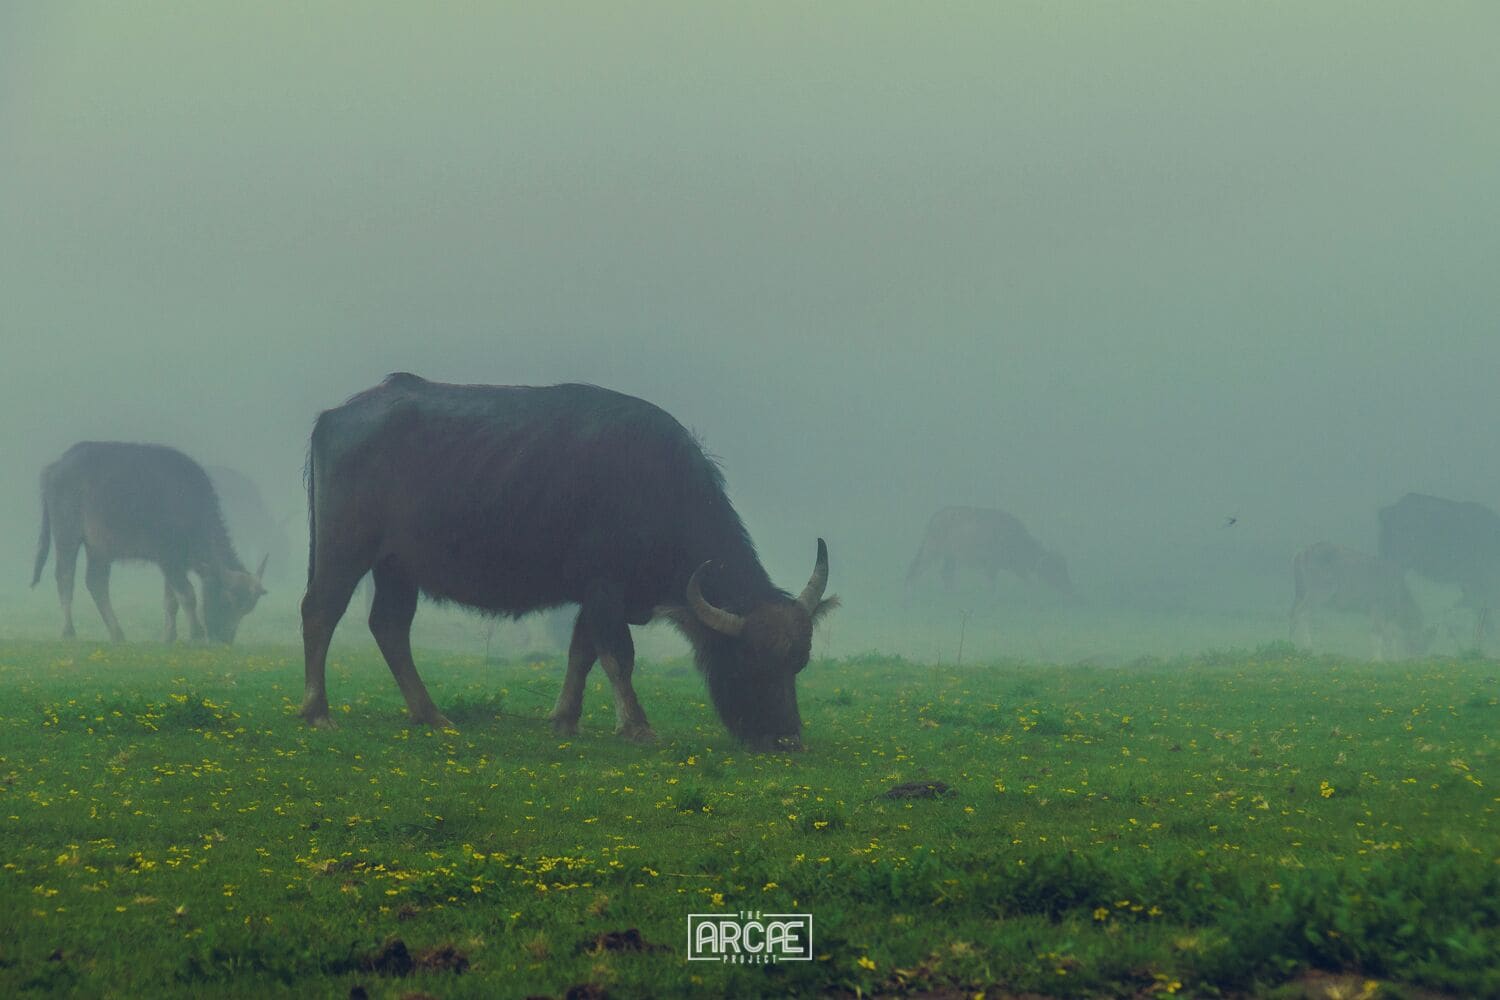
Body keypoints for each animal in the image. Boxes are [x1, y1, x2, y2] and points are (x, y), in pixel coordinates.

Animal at [33, 442, 267, 643]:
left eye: (247, 609)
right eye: (228, 600)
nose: (224, 639)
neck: (188, 506)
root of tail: (57, 467)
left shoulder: (176, 564)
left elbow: (171, 601)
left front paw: (169, 637)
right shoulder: (168, 559)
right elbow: (188, 595)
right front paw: (197, 635)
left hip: (99, 549)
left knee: (96, 583)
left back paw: (117, 634)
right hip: (67, 536)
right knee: (65, 578)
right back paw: (68, 631)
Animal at [299, 374, 837, 750]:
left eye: (798, 663)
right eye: (750, 663)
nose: (787, 740)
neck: (656, 488)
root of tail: (334, 417)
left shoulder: (593, 595)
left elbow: (582, 653)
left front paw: (564, 718)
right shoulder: (605, 588)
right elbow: (618, 654)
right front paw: (636, 726)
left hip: (397, 566)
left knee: (389, 626)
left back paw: (430, 714)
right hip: (344, 548)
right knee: (320, 612)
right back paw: (318, 710)